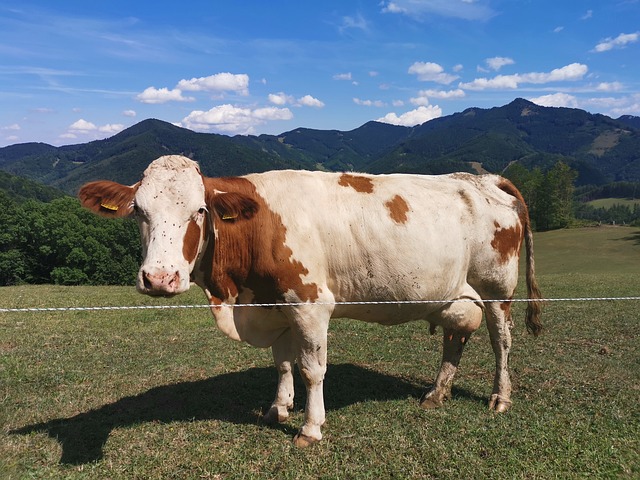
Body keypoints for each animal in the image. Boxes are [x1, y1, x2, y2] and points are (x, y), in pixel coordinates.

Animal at [77, 156, 544, 448]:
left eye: (199, 210)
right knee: (455, 338)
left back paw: (500, 398)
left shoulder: (310, 304)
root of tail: (481, 179)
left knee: (501, 341)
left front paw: (310, 427)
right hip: (455, 293)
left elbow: (311, 369)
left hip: (497, 289)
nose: (159, 278)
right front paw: (278, 408)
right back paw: (436, 393)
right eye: (138, 211)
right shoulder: (276, 306)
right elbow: (282, 363)